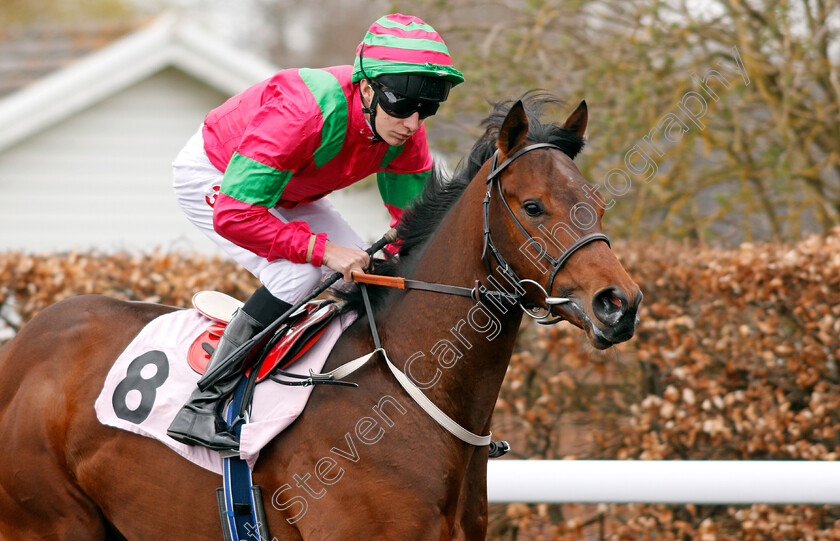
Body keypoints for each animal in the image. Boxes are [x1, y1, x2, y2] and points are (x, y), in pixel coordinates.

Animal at [1, 94, 644, 540]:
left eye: (597, 204)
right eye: (534, 206)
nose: (620, 303)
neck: (400, 393)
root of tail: (21, 345)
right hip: (50, 522)